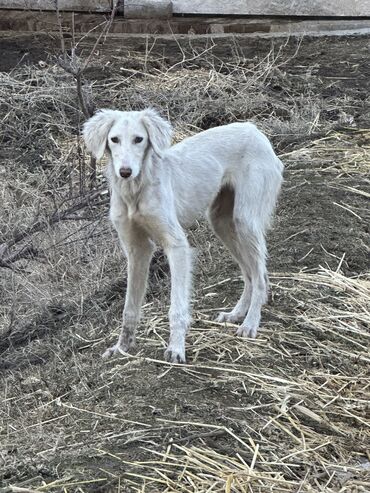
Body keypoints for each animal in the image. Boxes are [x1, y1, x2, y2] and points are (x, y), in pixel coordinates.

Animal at [82, 108, 282, 362]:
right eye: (114, 139)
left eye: (139, 139)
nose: (125, 172)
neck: (134, 193)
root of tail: (255, 130)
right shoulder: (137, 250)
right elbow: (129, 308)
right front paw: (121, 348)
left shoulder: (176, 245)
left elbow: (176, 307)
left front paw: (176, 348)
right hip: (221, 223)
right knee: (249, 274)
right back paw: (236, 314)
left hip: (245, 221)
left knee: (260, 276)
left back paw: (250, 323)